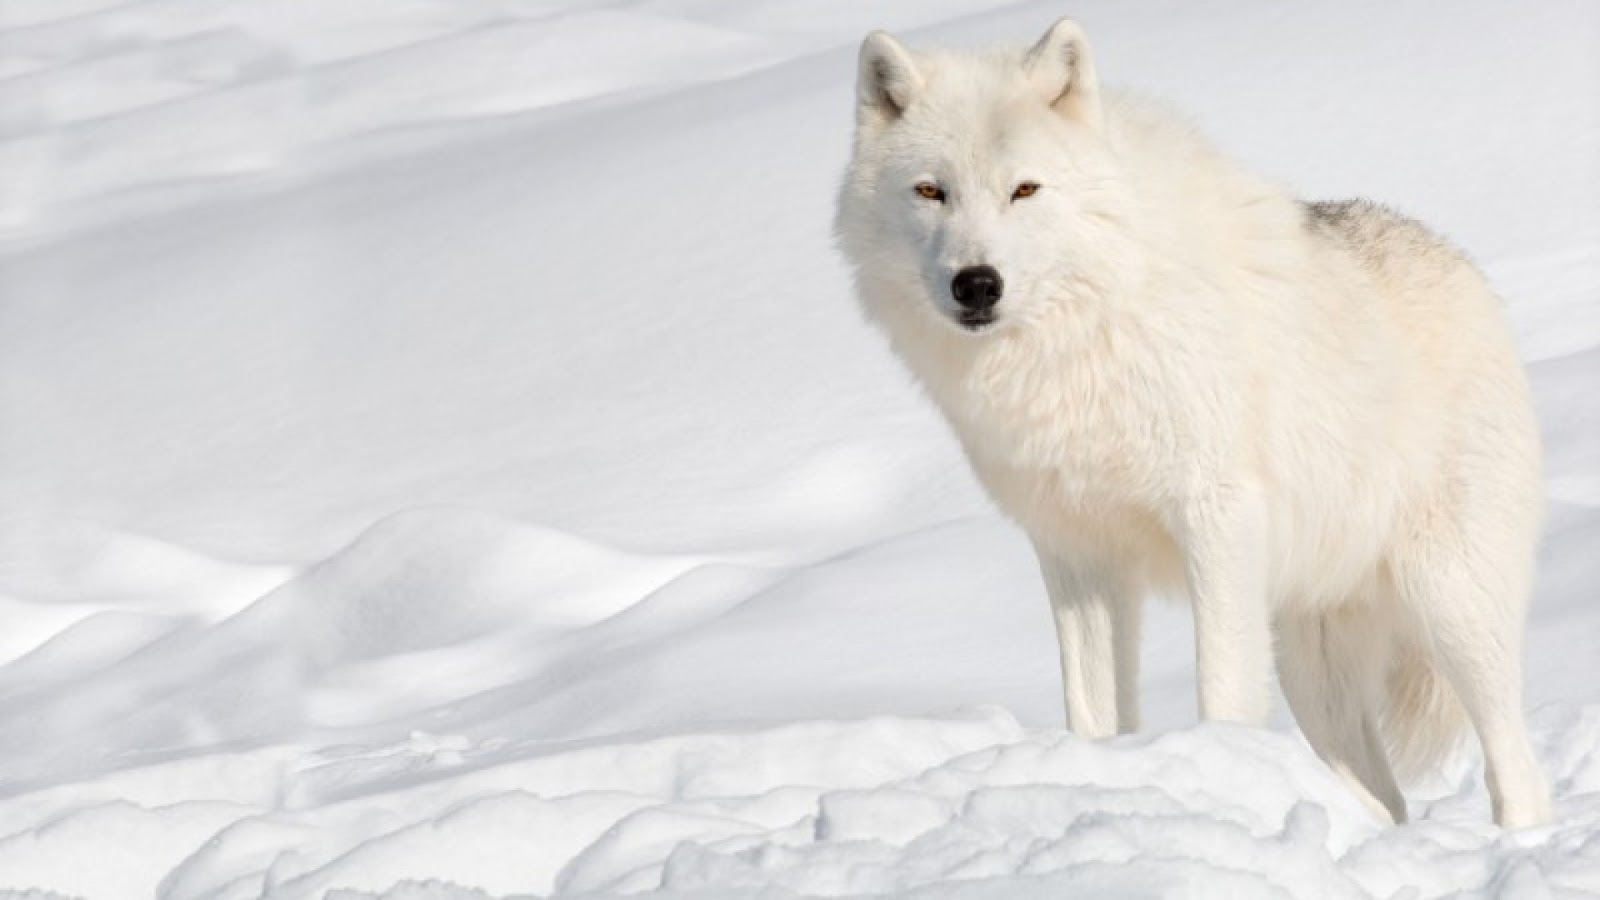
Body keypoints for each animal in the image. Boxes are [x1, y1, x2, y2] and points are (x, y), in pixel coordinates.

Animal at [834, 18, 1550, 827]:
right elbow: (1094, 711)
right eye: (931, 191)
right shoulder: (1077, 553)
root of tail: (1470, 275)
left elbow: (1222, 689)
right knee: (1384, 800)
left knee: (1518, 770)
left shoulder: (1216, 517)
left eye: (1024, 189)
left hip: (1452, 607)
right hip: (1315, 671)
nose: (976, 284)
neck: (1083, 336)